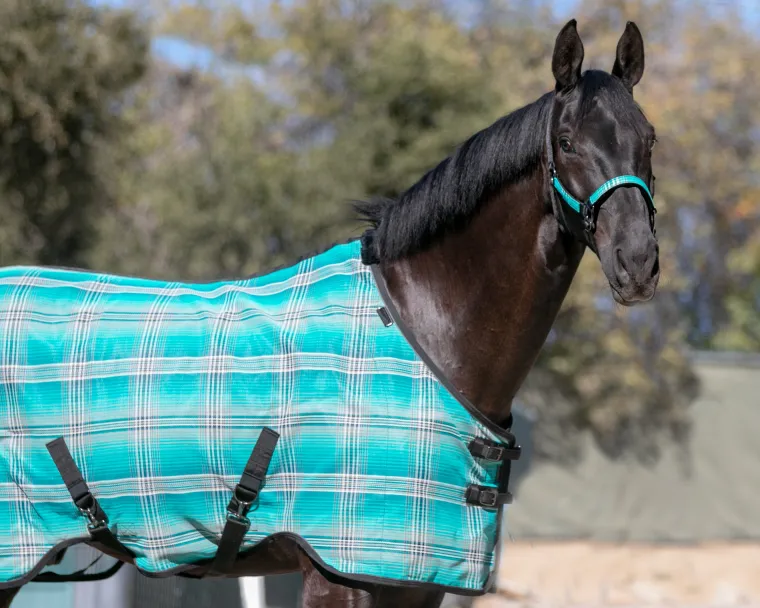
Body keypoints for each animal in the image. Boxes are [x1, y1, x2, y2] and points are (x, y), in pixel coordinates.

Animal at [0, 19, 658, 608]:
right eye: (568, 142)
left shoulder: (415, 584)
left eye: (648, 139)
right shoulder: (339, 575)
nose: (638, 263)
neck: (422, 334)